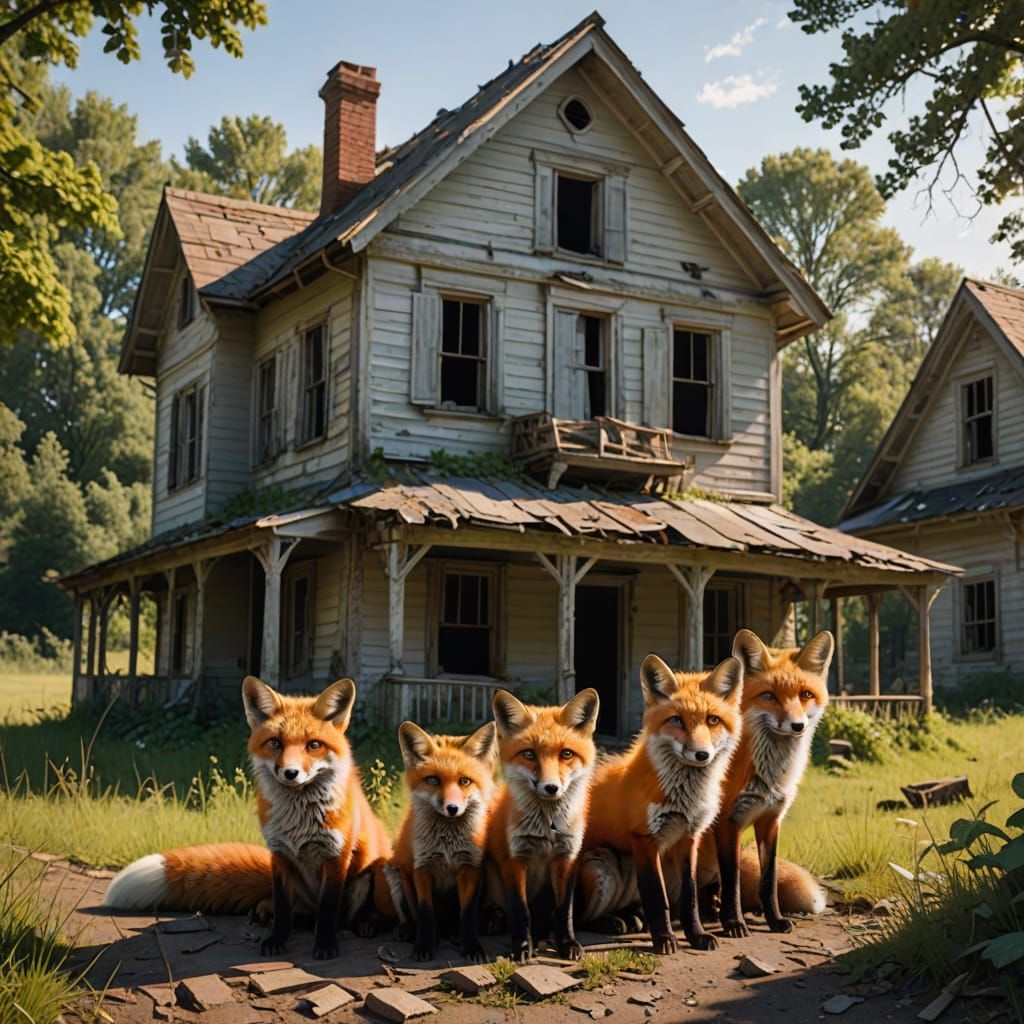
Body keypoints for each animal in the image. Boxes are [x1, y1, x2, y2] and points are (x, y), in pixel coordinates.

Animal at [105, 676, 393, 960]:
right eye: (275, 743)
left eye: (314, 745)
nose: (290, 773)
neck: (299, 820)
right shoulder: (279, 854)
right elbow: (283, 908)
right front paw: (276, 939)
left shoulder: (336, 856)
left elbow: (327, 910)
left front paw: (325, 945)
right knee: (293, 912)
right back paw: (269, 914)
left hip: (369, 874)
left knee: (344, 917)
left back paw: (365, 924)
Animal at [390, 720, 498, 963]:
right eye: (433, 780)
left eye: (464, 781)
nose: (452, 808)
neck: (447, 844)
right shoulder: (421, 868)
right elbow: (426, 913)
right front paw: (424, 946)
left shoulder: (469, 868)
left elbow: (467, 914)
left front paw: (472, 947)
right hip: (394, 872)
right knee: (410, 916)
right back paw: (409, 931)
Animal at [484, 687, 600, 963]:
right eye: (529, 754)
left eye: (566, 753)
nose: (551, 788)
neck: (548, 828)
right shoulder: (514, 859)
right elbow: (521, 910)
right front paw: (522, 947)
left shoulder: (567, 859)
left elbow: (564, 911)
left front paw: (567, 943)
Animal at [579, 654, 743, 953]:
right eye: (676, 720)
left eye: (713, 720)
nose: (702, 754)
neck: (684, 798)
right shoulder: (645, 839)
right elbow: (657, 897)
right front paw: (665, 939)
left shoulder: (689, 837)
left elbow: (690, 897)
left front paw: (696, 935)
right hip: (598, 869)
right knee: (579, 916)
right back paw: (609, 922)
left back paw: (628, 918)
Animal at [711, 629, 832, 939]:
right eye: (769, 696)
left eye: (805, 695)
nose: (797, 726)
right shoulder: (727, 822)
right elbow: (733, 881)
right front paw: (733, 923)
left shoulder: (771, 819)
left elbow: (769, 879)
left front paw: (774, 920)